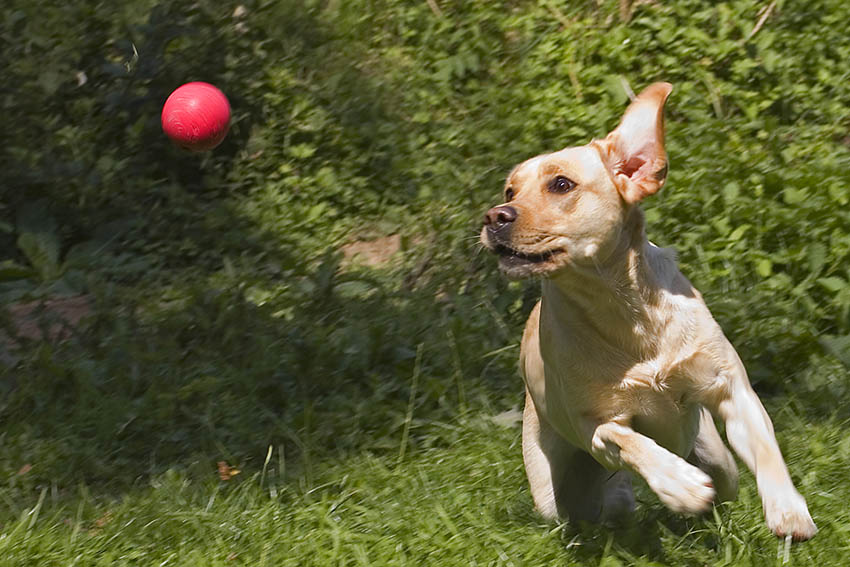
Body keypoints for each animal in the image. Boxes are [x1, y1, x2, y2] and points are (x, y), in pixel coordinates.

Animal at [476, 83, 816, 540]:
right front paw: (680, 485)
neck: (625, 312)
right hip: (552, 490)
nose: (494, 216)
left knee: (717, 479)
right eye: (510, 192)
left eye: (561, 184)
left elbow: (766, 447)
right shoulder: (595, 425)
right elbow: (629, 441)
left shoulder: (732, 390)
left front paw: (788, 510)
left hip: (716, 455)